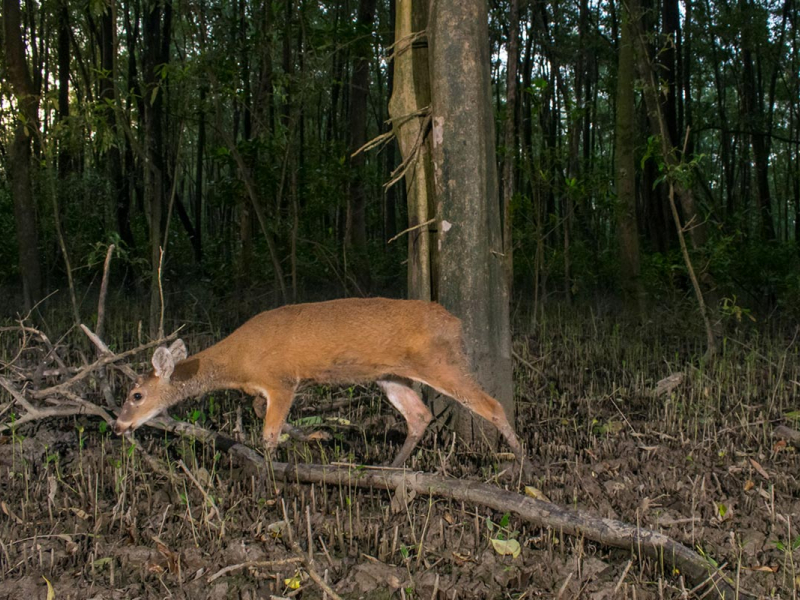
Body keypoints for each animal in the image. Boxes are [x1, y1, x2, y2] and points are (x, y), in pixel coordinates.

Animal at [112, 298, 524, 472]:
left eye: (136, 394)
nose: (117, 425)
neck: (238, 361)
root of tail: (456, 323)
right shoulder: (264, 389)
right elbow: (262, 414)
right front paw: (316, 435)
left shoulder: (281, 380)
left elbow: (268, 434)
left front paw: (269, 480)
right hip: (390, 374)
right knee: (419, 415)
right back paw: (390, 468)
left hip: (440, 362)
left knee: (491, 405)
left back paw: (524, 466)